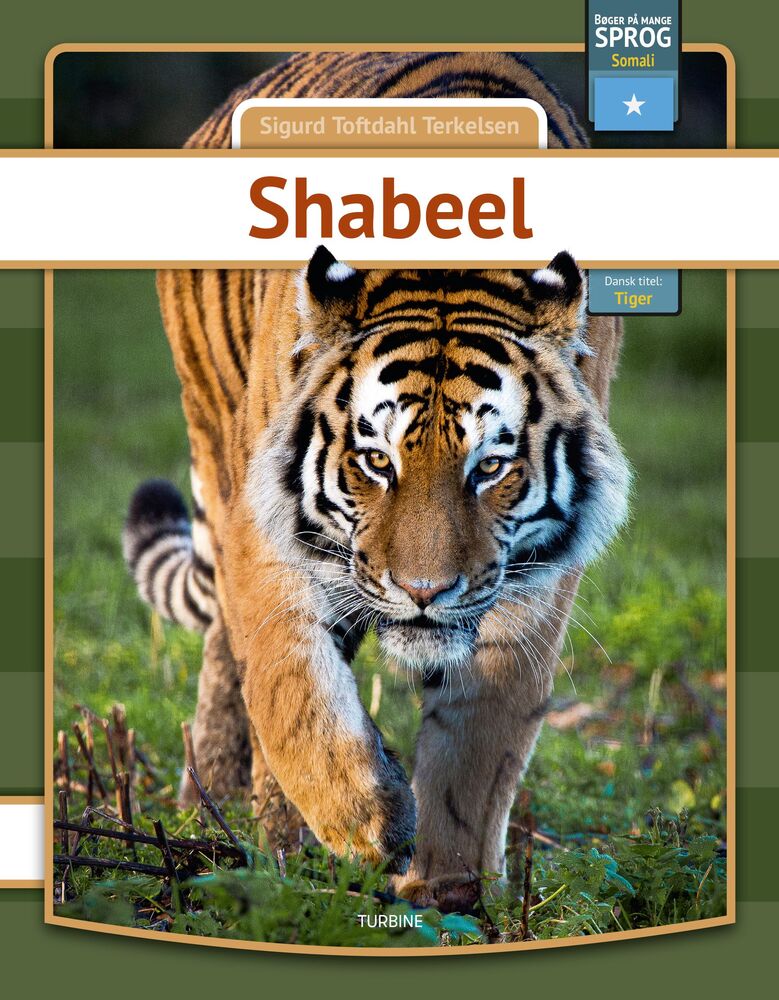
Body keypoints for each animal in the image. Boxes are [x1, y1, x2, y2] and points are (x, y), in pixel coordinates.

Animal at [122, 51, 629, 911]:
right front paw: (367, 822)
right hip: (217, 444)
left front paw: (450, 891)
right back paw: (246, 827)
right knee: (237, 657)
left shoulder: (531, 581)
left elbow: (480, 738)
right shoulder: (268, 537)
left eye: (489, 467)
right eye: (376, 461)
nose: (423, 593)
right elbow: (291, 690)